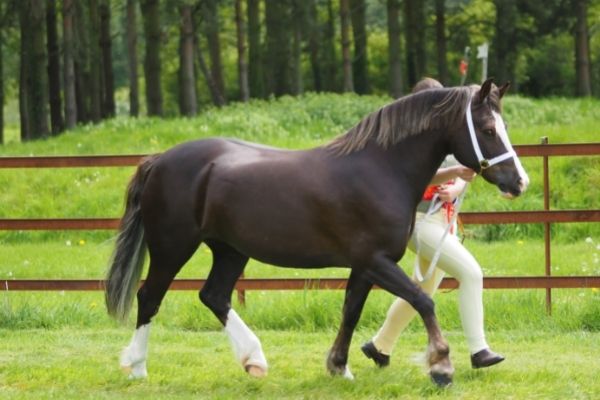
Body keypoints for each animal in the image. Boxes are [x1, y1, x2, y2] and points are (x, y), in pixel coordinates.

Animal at [105, 79, 528, 388]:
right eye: (488, 129)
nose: (518, 182)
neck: (380, 168)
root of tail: (161, 159)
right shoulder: (376, 261)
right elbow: (422, 302)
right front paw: (441, 366)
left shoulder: (366, 265)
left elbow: (351, 312)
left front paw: (339, 367)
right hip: (172, 247)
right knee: (150, 297)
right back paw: (137, 366)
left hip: (230, 250)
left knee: (214, 296)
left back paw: (254, 360)